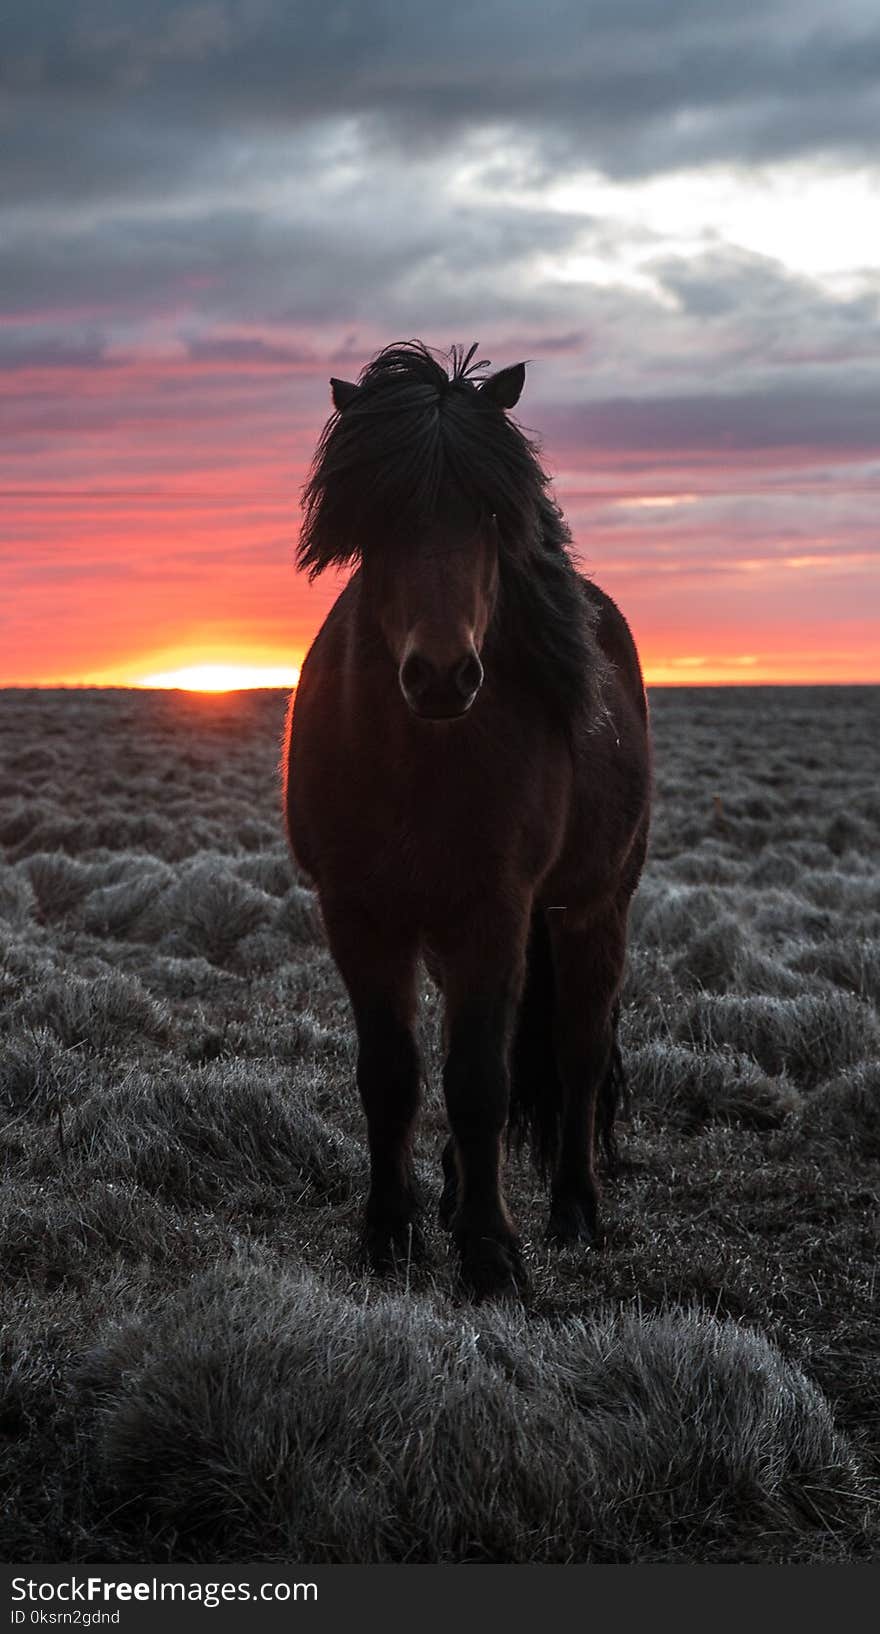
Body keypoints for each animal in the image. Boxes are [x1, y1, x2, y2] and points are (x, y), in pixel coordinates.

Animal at [285, 344, 649, 1300]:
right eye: (379, 515)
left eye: (490, 511)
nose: (443, 674)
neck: (419, 759)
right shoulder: (359, 912)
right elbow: (393, 1076)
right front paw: (390, 1234)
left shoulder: (496, 912)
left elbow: (481, 1080)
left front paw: (491, 1255)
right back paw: (451, 1195)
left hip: (594, 911)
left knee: (577, 1051)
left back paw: (573, 1213)